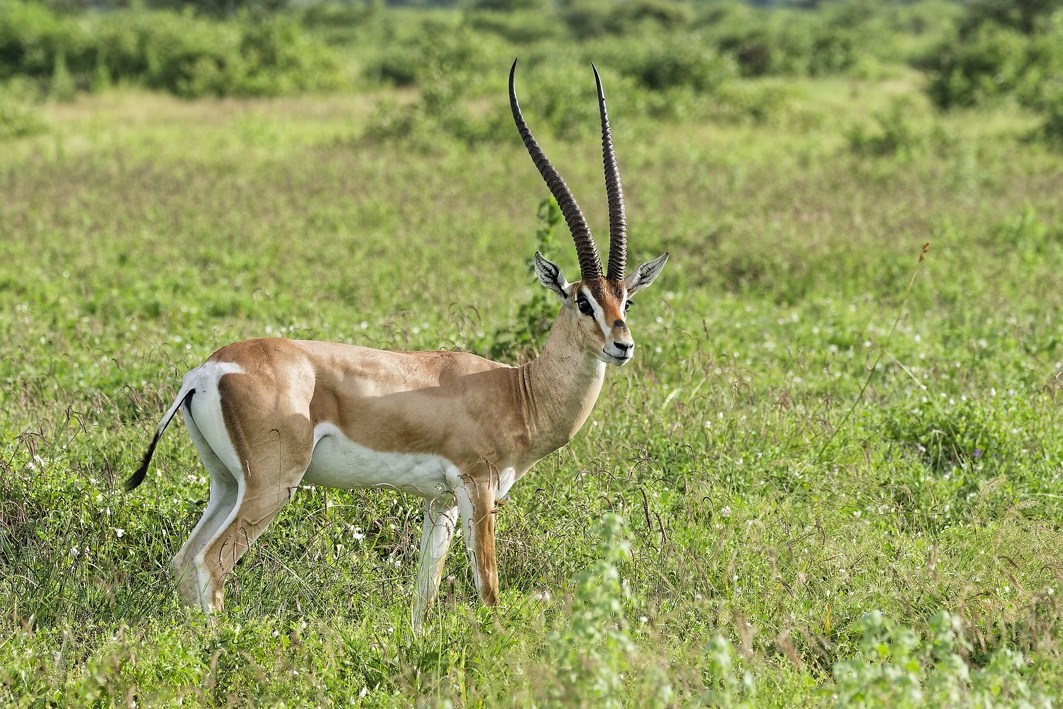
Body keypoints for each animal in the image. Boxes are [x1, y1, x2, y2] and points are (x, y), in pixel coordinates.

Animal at [125, 60, 668, 628]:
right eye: (582, 300)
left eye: (626, 299)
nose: (622, 345)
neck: (515, 391)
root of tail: (208, 371)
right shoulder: (478, 488)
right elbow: (489, 589)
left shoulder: (440, 501)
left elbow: (422, 597)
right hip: (272, 486)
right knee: (210, 565)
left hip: (226, 484)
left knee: (184, 562)